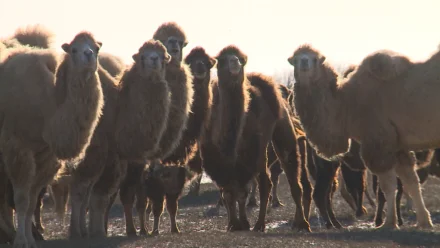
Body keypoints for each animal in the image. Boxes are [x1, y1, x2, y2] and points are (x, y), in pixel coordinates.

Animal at [0, 31, 104, 248]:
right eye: (74, 49)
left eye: (96, 48)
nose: (89, 55)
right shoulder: (18, 148)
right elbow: (21, 199)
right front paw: (21, 241)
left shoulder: (45, 156)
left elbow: (31, 201)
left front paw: (30, 239)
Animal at [199, 45, 310, 232]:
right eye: (222, 59)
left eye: (241, 59)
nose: (235, 62)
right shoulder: (216, 161)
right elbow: (228, 192)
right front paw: (233, 224)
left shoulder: (249, 154)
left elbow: (242, 191)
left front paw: (243, 223)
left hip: (279, 129)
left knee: (287, 177)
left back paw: (293, 223)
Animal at [288, 44, 436, 229]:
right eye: (294, 59)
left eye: (315, 59)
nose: (304, 62)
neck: (348, 104)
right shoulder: (397, 145)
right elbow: (410, 182)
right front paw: (424, 222)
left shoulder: (378, 141)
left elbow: (389, 186)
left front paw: (388, 223)